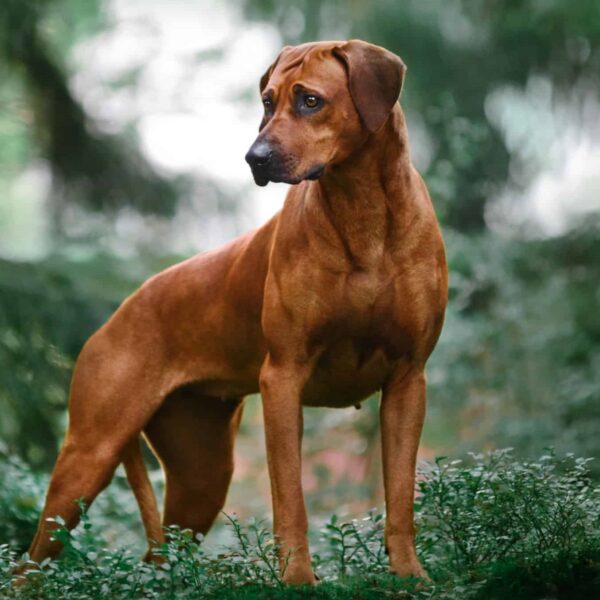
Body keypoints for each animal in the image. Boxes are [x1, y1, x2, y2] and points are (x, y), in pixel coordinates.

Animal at [23, 41, 446, 584]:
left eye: (310, 100)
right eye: (267, 101)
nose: (253, 158)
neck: (363, 208)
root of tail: (114, 318)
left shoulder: (408, 380)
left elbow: (400, 496)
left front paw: (411, 576)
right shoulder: (283, 378)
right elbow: (291, 500)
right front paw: (298, 582)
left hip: (201, 473)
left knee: (159, 556)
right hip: (88, 454)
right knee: (28, 562)